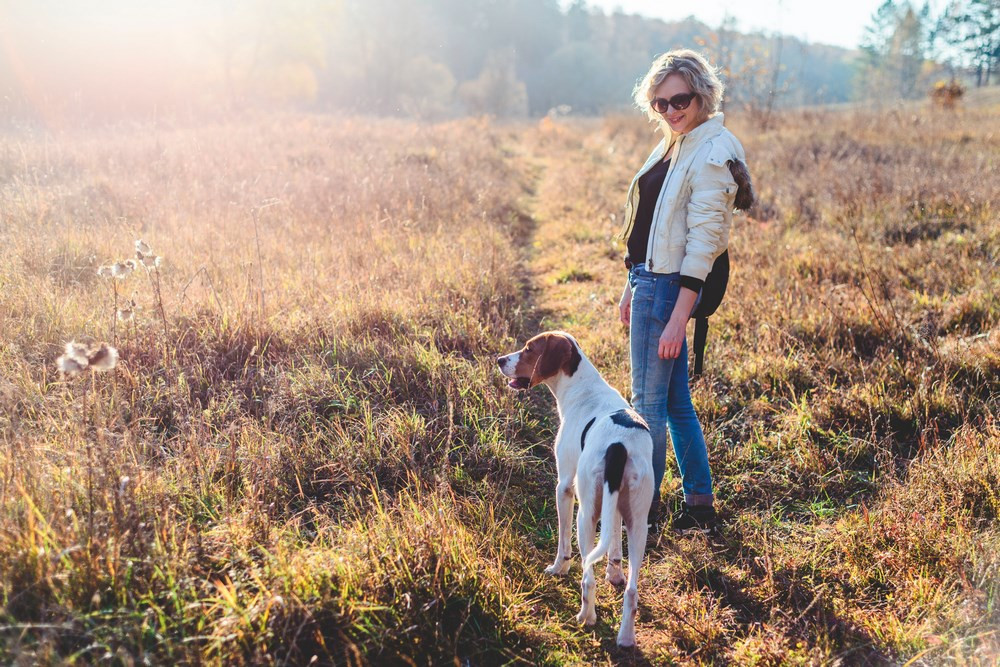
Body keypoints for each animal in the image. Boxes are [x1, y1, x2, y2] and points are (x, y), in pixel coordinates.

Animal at [497, 331, 653, 647]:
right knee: (632, 591)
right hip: (638, 524)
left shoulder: (564, 487)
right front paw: (614, 573)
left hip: (586, 516)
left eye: (529, 349)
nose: (499, 360)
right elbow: (614, 546)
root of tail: (620, 445)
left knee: (587, 576)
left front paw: (558, 568)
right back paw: (625, 637)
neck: (583, 389)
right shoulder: (615, 506)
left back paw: (586, 616)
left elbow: (562, 543)